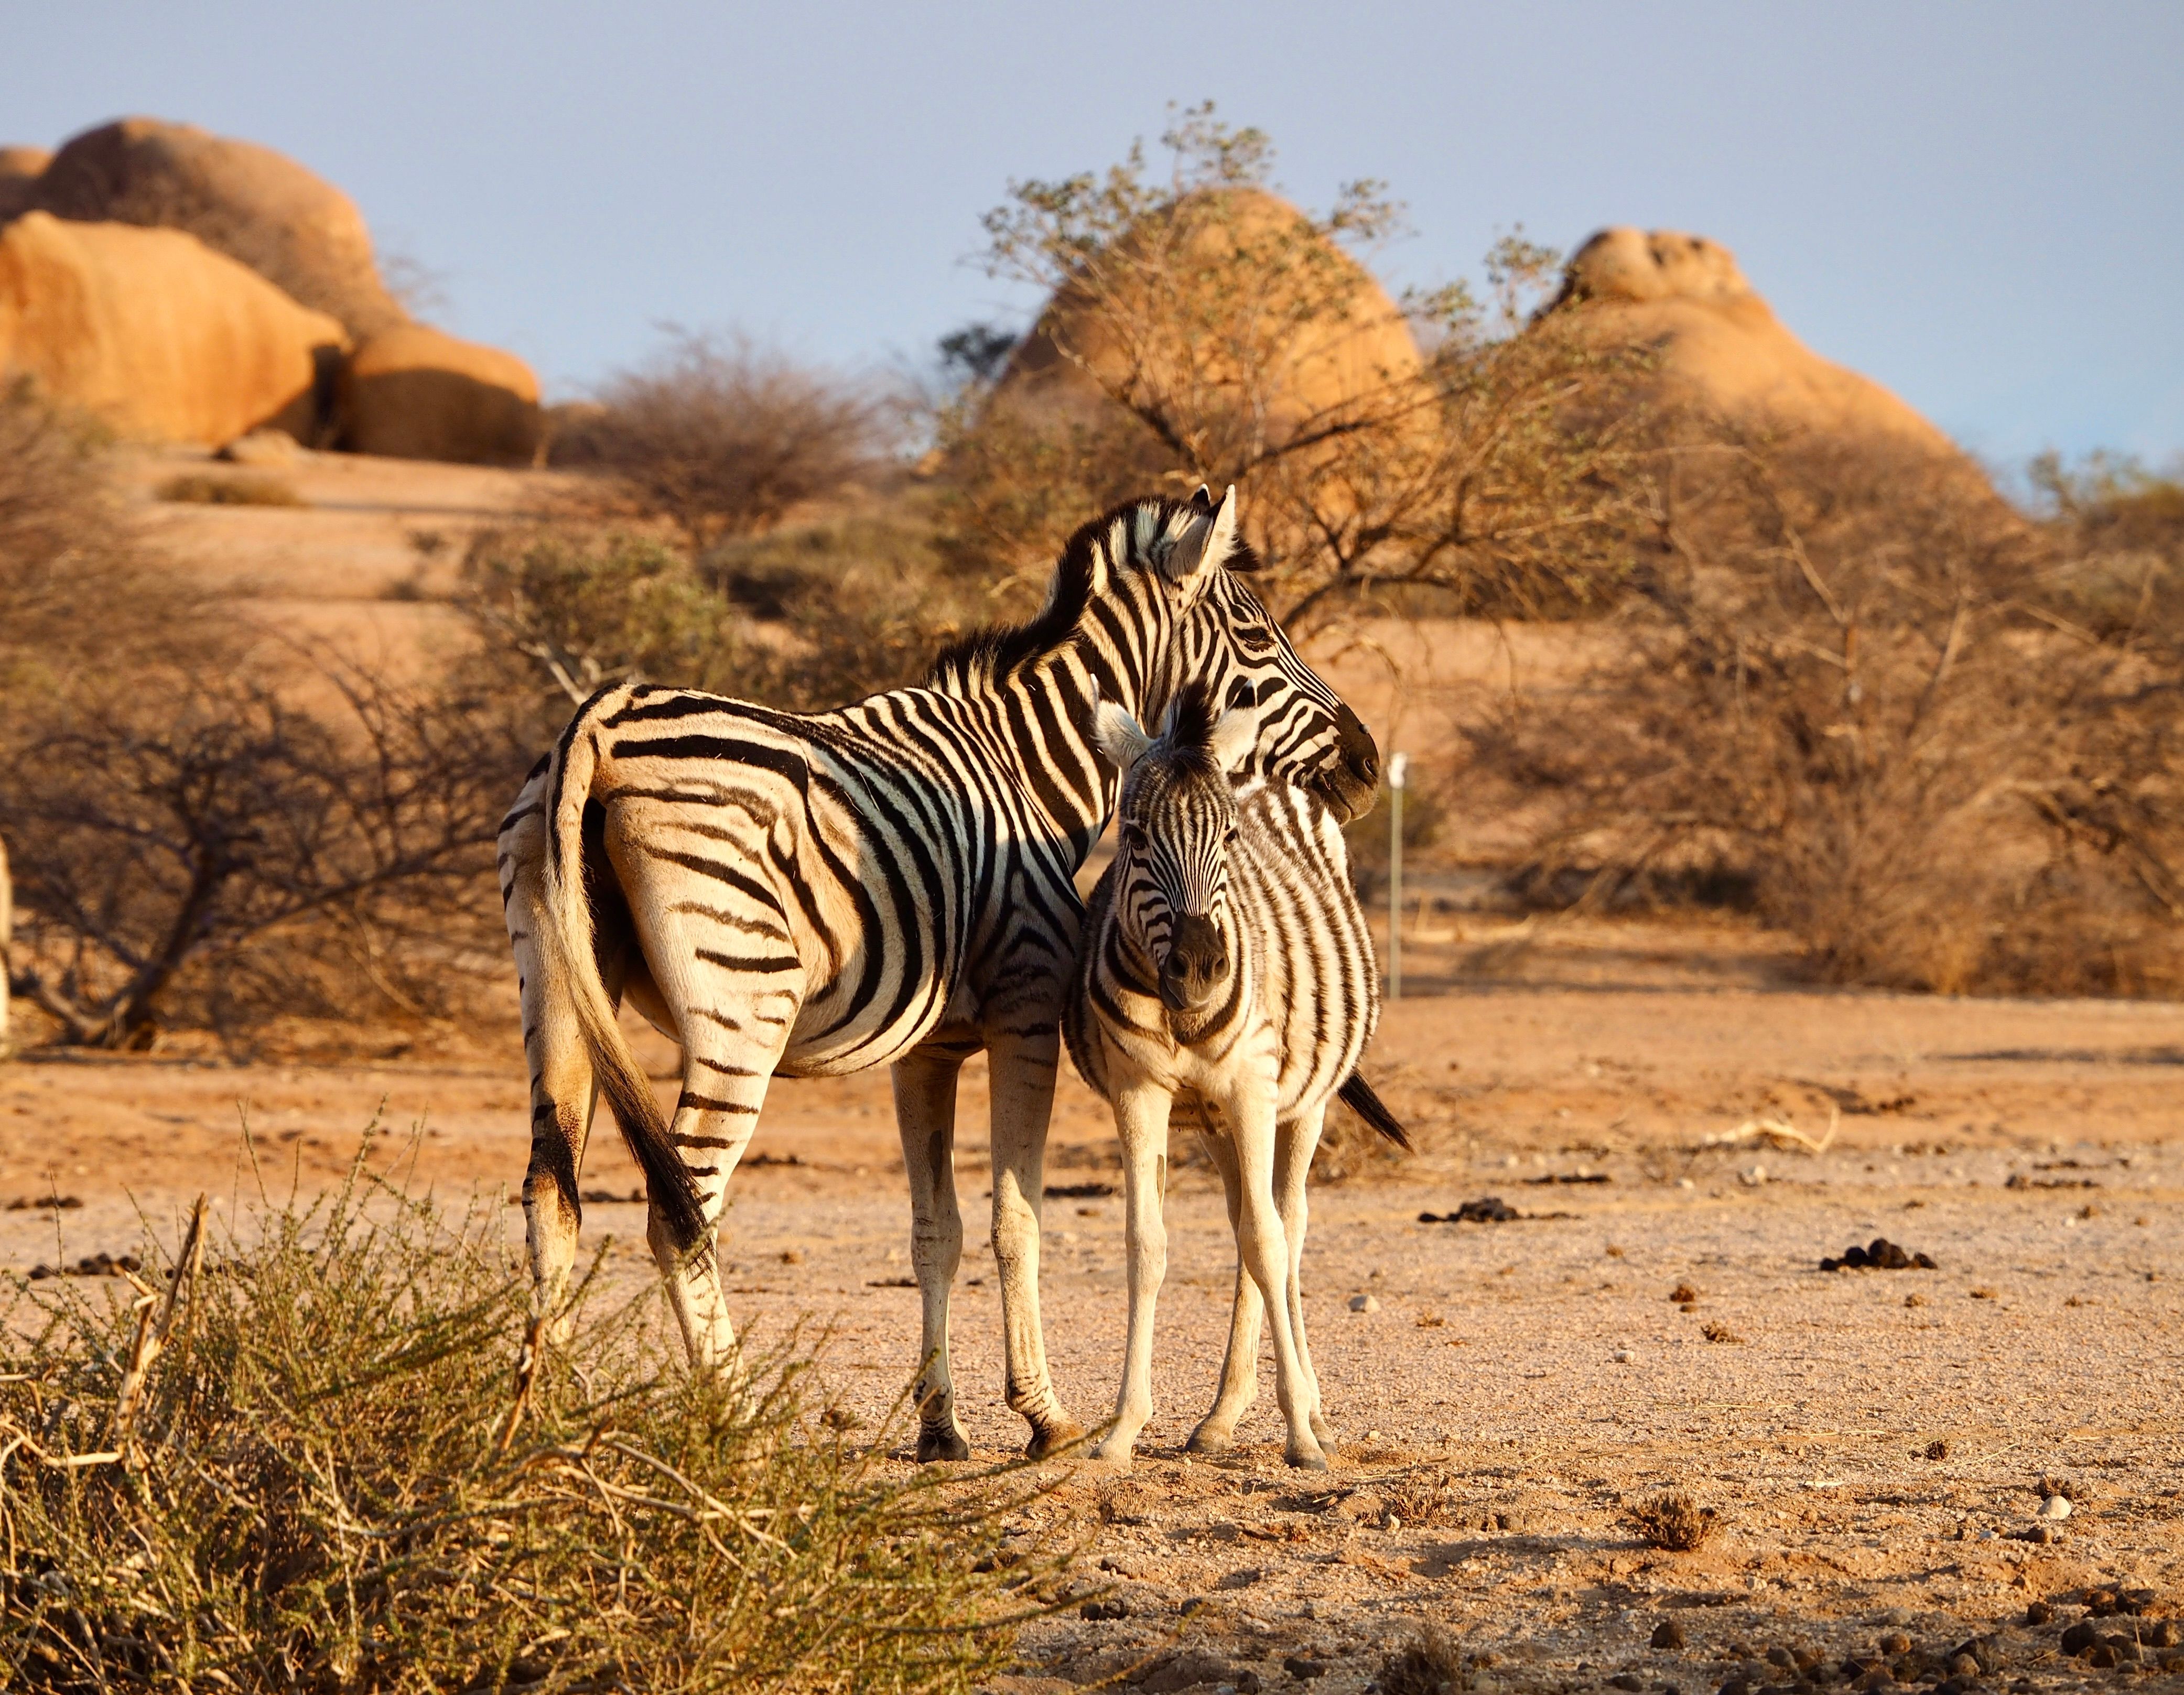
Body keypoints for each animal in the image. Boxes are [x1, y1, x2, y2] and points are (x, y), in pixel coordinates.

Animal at [1064, 681, 1409, 1470]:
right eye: (1134, 837)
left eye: (1228, 839)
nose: (1199, 967)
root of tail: (1263, 772)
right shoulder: (1138, 1091)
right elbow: (1147, 1243)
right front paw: (1124, 1426)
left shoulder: (1253, 1087)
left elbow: (1267, 1240)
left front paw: (1300, 1431)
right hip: (1214, 1120)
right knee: (1249, 1224)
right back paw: (1222, 1414)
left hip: (1302, 1102)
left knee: (1287, 1224)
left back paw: (1308, 1408)